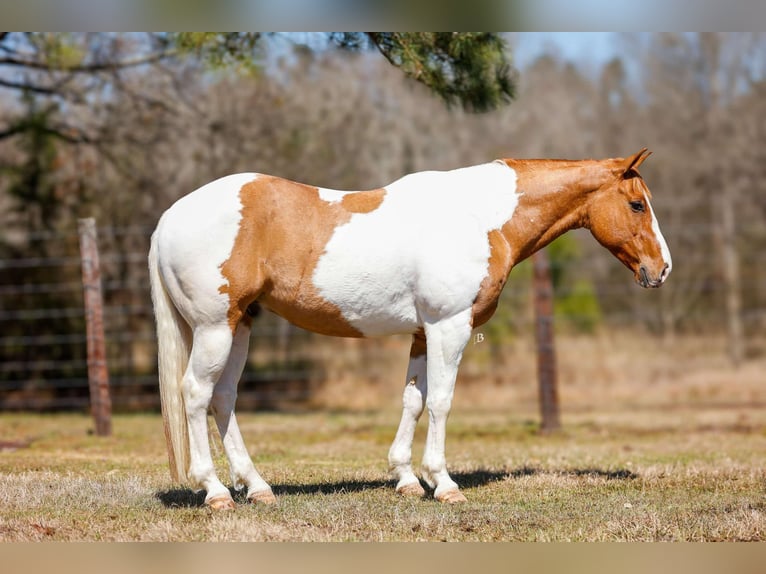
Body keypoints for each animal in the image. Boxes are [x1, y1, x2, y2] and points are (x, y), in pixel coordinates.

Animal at [148, 147, 672, 508]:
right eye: (637, 205)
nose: (662, 269)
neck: (479, 217)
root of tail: (169, 216)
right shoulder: (449, 327)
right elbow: (440, 401)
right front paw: (443, 482)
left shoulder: (423, 332)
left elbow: (413, 400)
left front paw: (405, 478)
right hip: (215, 327)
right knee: (196, 393)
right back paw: (216, 491)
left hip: (241, 325)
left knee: (224, 398)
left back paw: (257, 487)